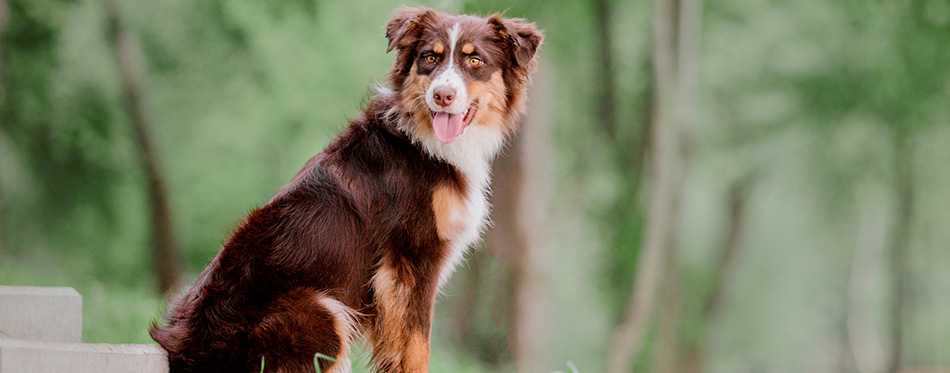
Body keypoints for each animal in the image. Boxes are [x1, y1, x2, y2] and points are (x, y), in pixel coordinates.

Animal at [152, 5, 548, 372]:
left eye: (475, 60)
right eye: (430, 58)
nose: (442, 96)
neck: (423, 141)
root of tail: (180, 353)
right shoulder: (411, 262)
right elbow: (416, 349)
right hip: (322, 311)